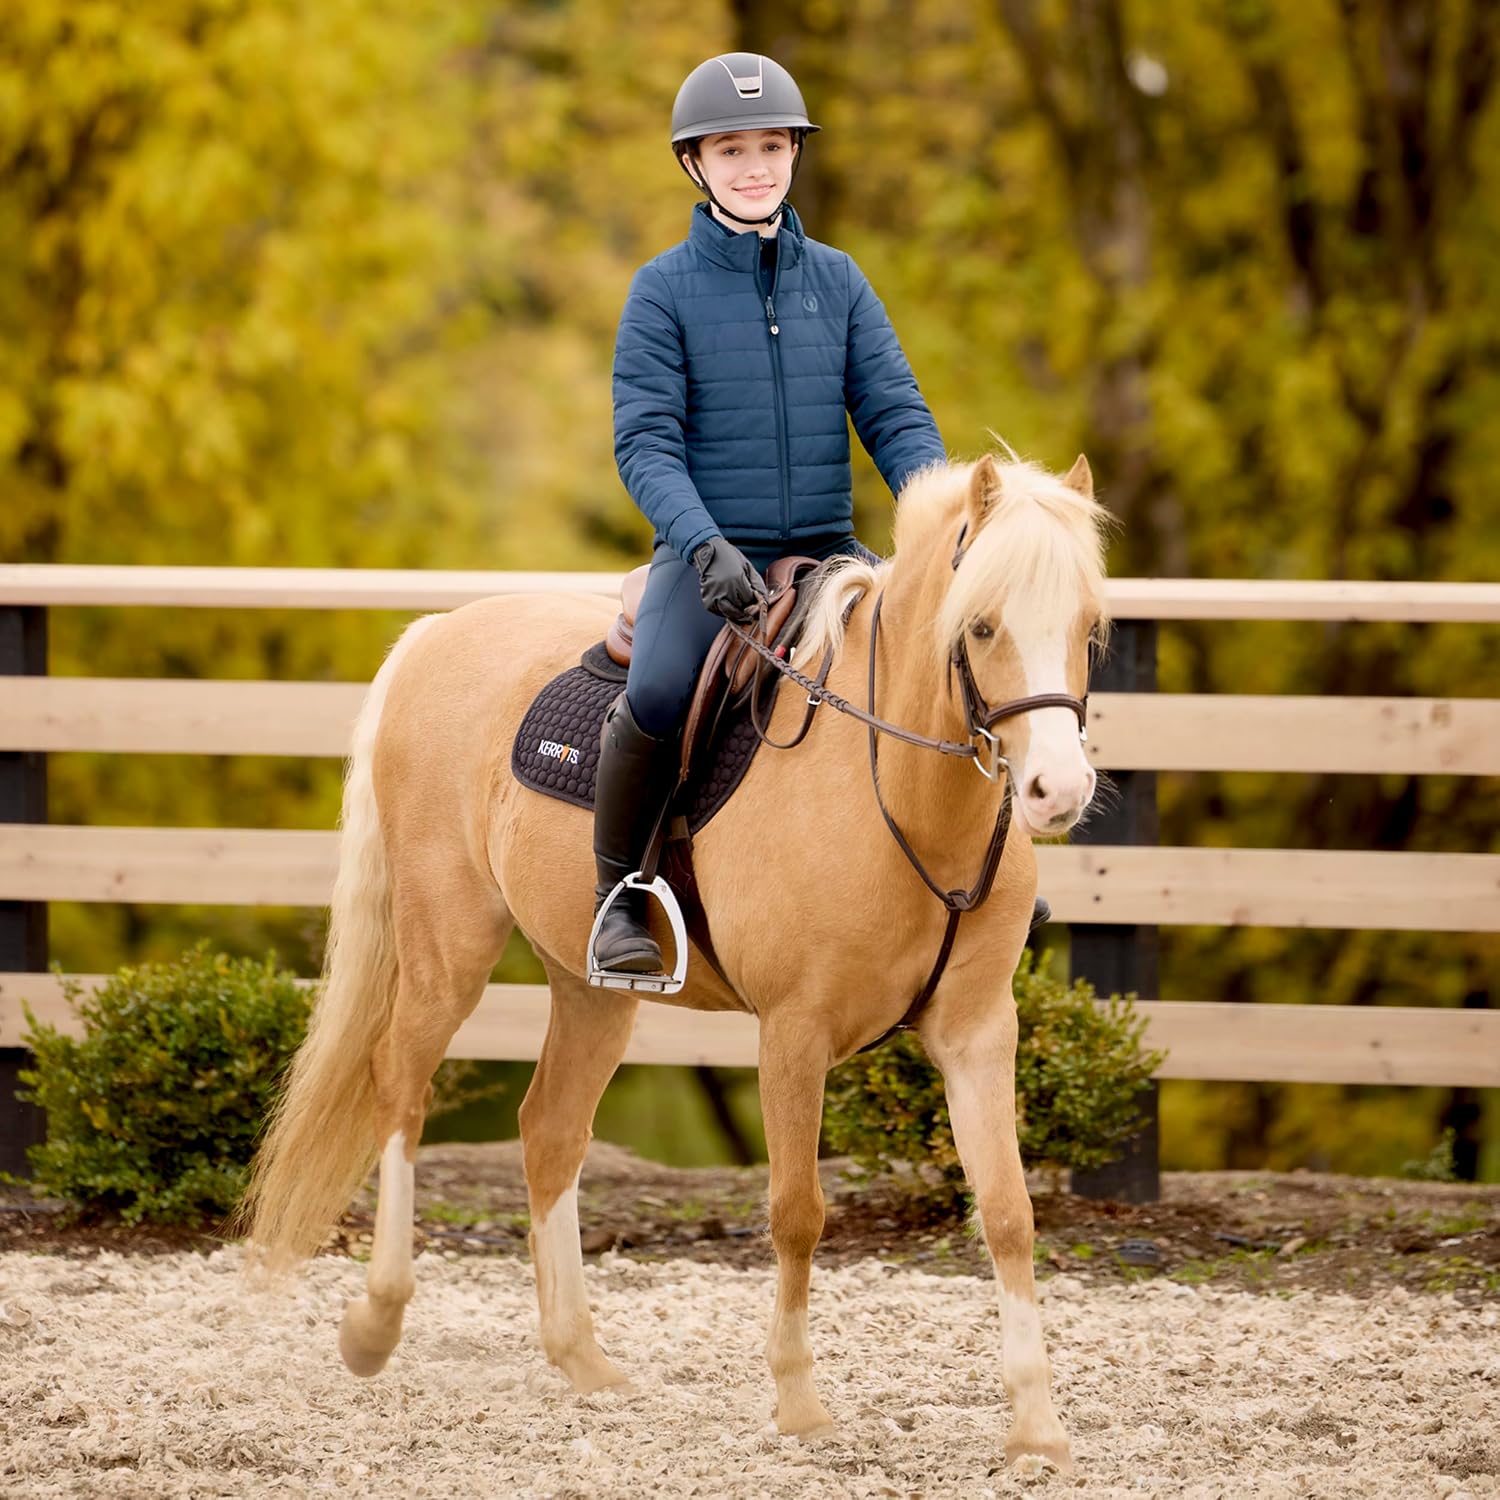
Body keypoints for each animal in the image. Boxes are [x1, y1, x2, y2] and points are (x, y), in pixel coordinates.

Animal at [239, 450, 1109, 1474]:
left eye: (1091, 627)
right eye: (981, 625)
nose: (1058, 791)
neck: (895, 789)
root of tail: (435, 635)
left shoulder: (978, 1032)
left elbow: (1009, 1212)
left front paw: (1038, 1427)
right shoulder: (794, 1034)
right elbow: (799, 1211)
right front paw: (799, 1405)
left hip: (589, 988)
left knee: (550, 1132)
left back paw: (583, 1359)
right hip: (446, 948)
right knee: (400, 1097)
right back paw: (375, 1324)